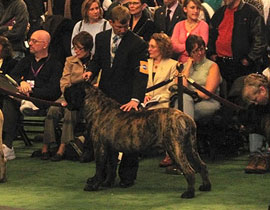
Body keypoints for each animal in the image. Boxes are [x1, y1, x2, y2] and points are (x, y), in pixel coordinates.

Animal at [65, 82, 211, 199]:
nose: (65, 87)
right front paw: (107, 183)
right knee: (202, 165)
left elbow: (99, 167)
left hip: (175, 149)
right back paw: (206, 186)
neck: (97, 108)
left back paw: (189, 193)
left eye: (72, 88)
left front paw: (94, 185)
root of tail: (186, 118)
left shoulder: (100, 147)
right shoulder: (112, 149)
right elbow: (111, 167)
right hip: (190, 148)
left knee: (189, 171)